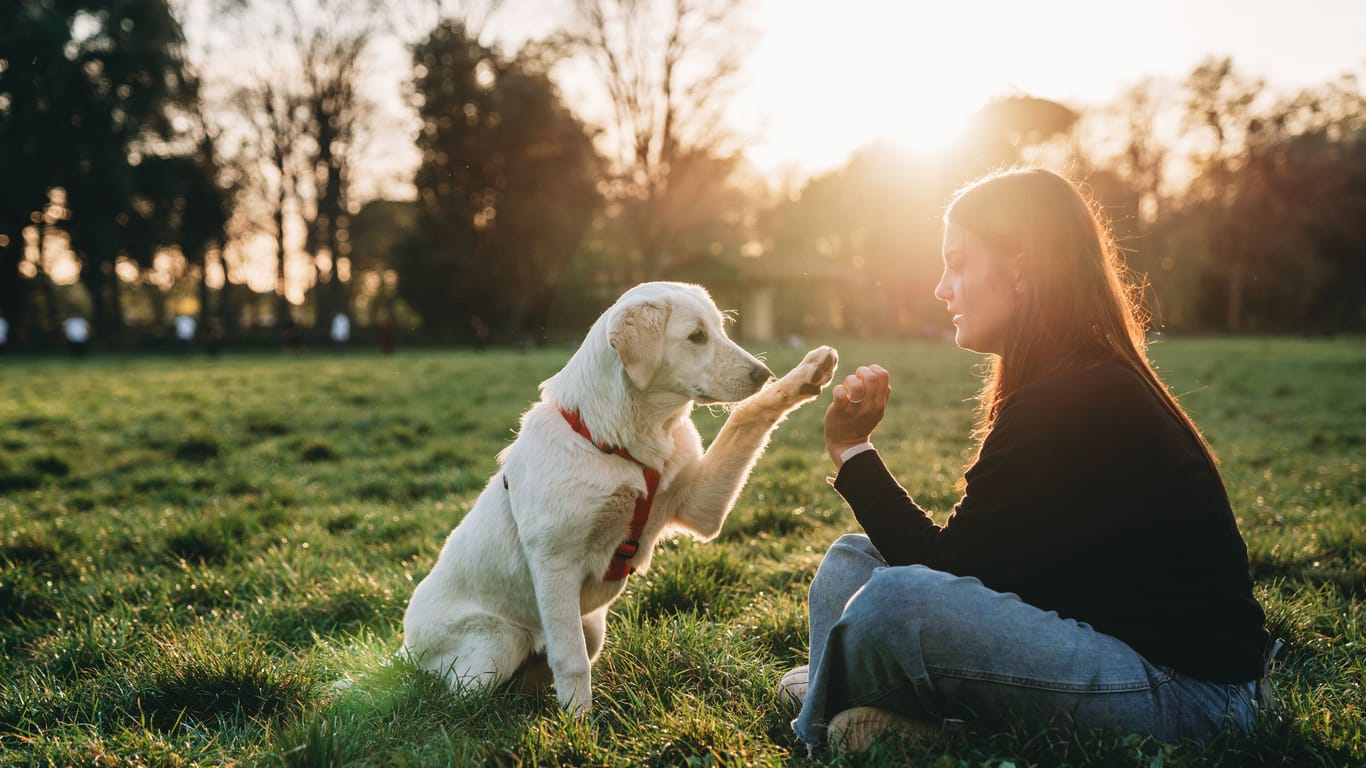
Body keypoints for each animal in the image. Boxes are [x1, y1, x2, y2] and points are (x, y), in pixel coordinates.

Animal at [398, 281, 835, 710]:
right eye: (696, 336)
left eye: (721, 329)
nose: (762, 372)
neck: (622, 443)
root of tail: (403, 649)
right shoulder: (555, 563)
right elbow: (571, 662)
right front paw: (579, 725)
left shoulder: (700, 507)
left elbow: (747, 415)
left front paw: (804, 377)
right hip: (497, 644)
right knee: (458, 694)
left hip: (589, 628)